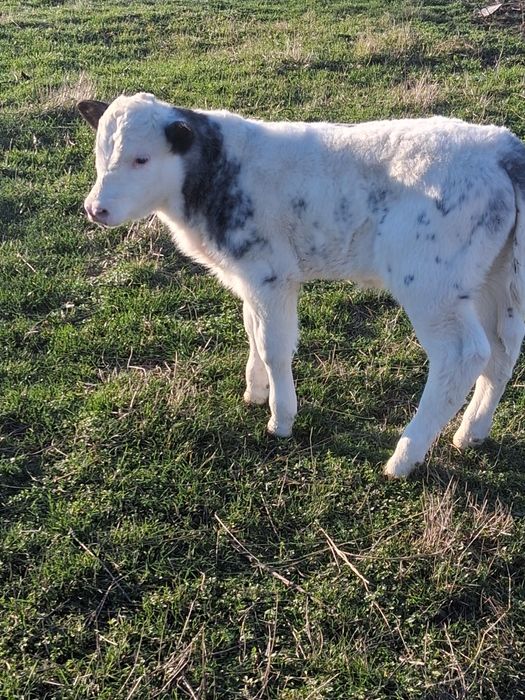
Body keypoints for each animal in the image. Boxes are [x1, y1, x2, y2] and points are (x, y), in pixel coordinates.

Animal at [78, 92, 525, 477]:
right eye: (100, 152)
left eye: (141, 158)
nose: (95, 209)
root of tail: (500, 146)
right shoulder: (250, 278)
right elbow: (252, 330)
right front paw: (255, 391)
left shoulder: (271, 275)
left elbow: (274, 346)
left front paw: (281, 418)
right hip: (494, 281)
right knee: (502, 350)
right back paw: (471, 434)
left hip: (432, 285)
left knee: (463, 354)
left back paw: (404, 457)